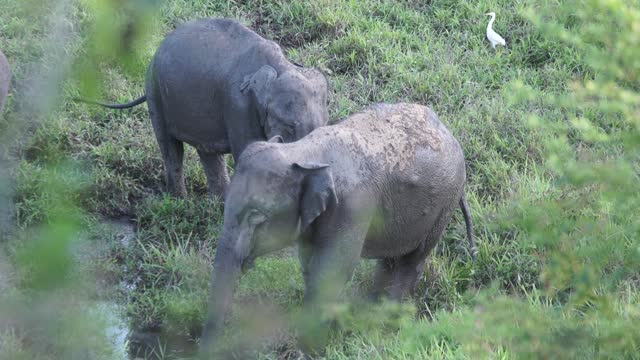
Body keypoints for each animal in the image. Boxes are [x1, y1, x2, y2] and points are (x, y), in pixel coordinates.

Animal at [76, 18, 330, 200]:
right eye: (288, 125)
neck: (280, 65)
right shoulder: (239, 108)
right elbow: (247, 153)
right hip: (155, 91)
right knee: (170, 146)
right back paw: (180, 201)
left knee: (206, 152)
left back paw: (218, 202)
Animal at [200, 102, 476, 356]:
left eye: (257, 218)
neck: (302, 150)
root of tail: (448, 132)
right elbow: (310, 263)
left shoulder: (353, 206)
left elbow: (333, 267)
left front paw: (308, 350)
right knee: (391, 259)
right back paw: (373, 309)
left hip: (444, 204)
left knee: (412, 260)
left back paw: (386, 320)